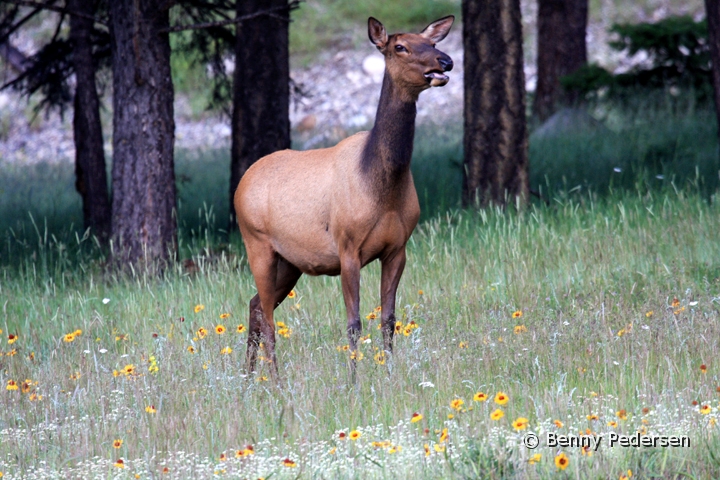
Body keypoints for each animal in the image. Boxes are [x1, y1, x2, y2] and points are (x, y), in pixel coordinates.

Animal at [233, 14, 452, 378]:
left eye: (432, 43)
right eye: (400, 47)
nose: (445, 61)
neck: (384, 187)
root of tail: (240, 185)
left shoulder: (398, 249)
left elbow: (389, 319)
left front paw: (390, 374)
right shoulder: (348, 247)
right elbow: (354, 323)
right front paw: (354, 380)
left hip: (290, 261)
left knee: (254, 306)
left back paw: (249, 379)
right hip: (257, 244)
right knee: (268, 319)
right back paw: (275, 382)